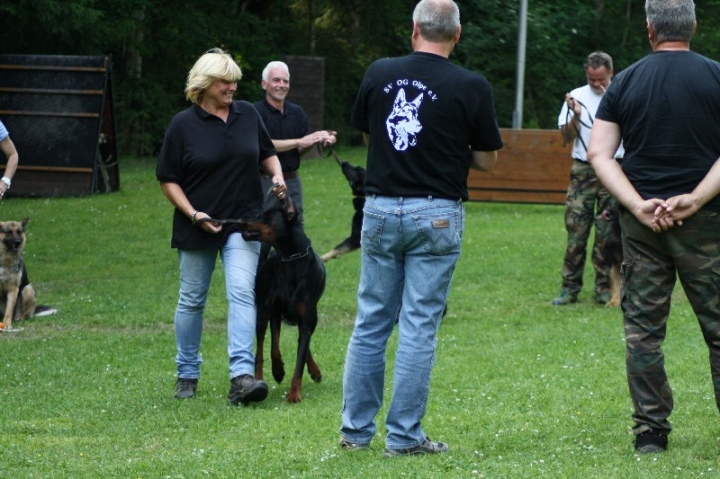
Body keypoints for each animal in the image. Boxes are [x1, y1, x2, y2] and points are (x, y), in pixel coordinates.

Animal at [239, 197, 326, 404]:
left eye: (266, 216)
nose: (240, 220)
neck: (292, 260)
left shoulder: (305, 318)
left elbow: (299, 361)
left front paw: (294, 395)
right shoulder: (274, 311)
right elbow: (273, 349)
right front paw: (278, 371)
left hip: (312, 318)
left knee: (304, 341)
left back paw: (315, 370)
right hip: (263, 313)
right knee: (260, 351)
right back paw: (259, 380)